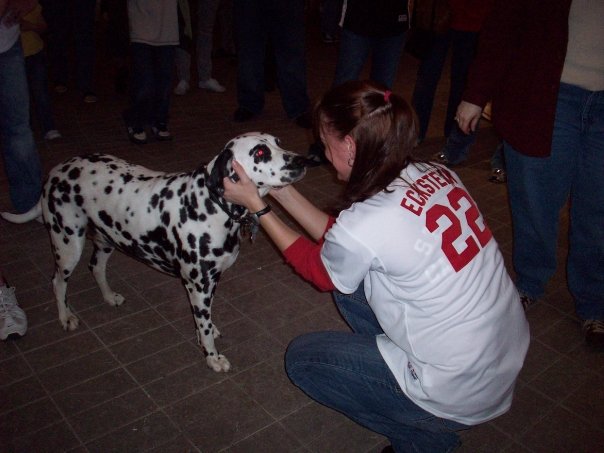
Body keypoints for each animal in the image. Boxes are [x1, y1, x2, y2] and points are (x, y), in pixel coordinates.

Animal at [1, 132, 307, 372]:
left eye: (278, 142)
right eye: (260, 152)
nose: (303, 160)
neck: (210, 204)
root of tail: (57, 170)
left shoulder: (206, 284)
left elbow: (203, 320)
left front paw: (204, 335)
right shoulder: (198, 285)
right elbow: (205, 325)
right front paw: (212, 357)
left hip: (107, 240)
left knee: (96, 267)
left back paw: (109, 296)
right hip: (67, 244)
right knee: (58, 282)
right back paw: (65, 317)